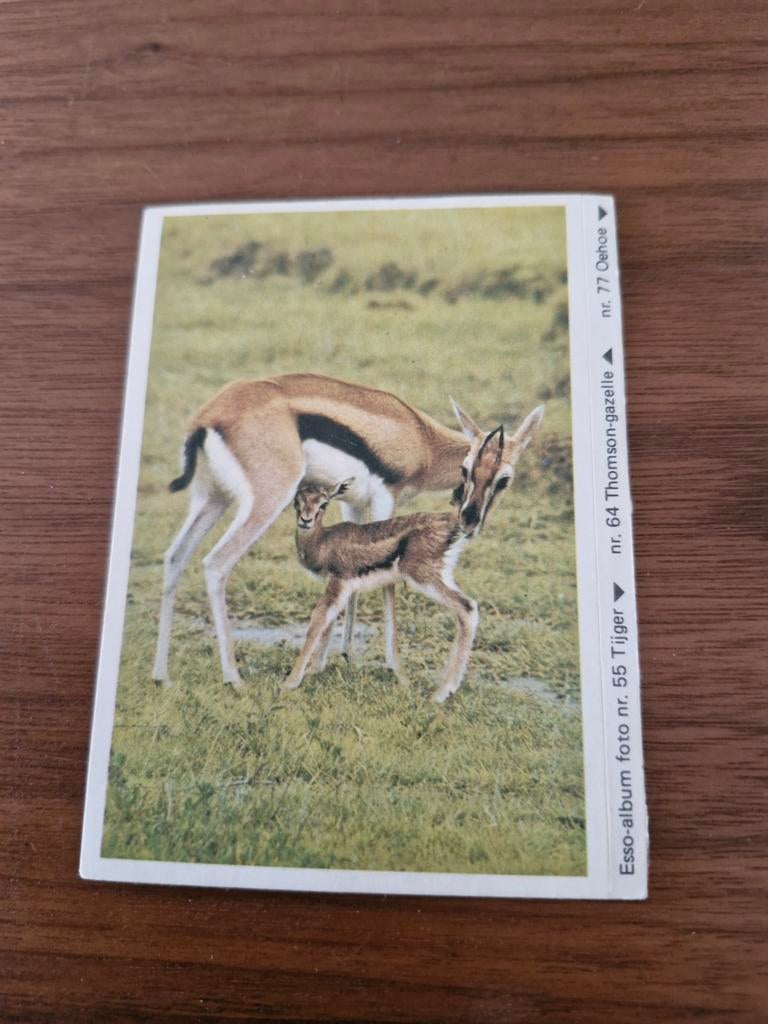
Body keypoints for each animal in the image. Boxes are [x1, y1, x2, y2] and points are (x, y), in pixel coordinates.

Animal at [152, 372, 543, 689]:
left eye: (504, 479)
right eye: (465, 469)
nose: (470, 519)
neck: (418, 436)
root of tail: (209, 416)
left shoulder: (351, 503)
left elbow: (352, 573)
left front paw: (333, 659)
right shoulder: (386, 498)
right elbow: (387, 583)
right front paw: (394, 668)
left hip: (212, 499)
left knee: (175, 557)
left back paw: (161, 675)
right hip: (266, 501)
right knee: (216, 564)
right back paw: (233, 677)